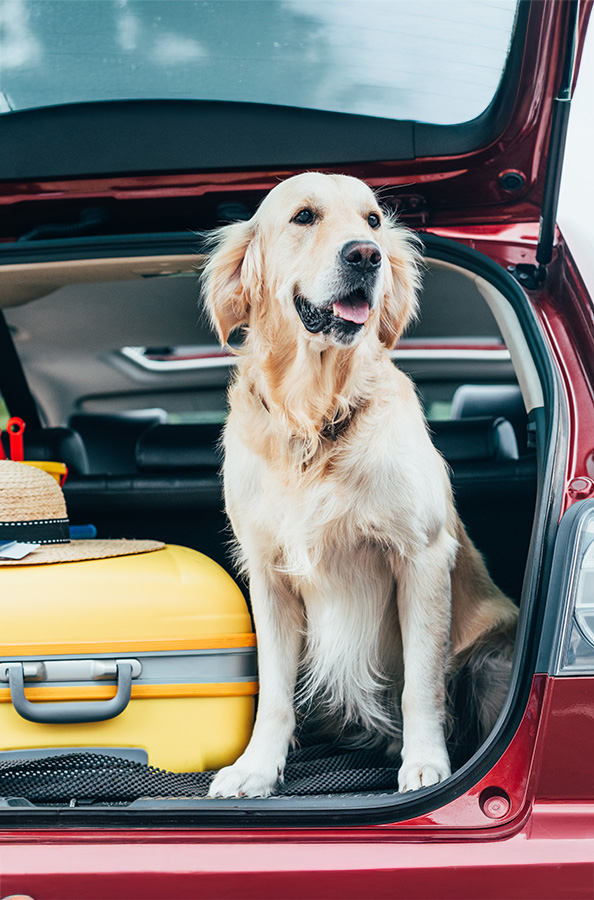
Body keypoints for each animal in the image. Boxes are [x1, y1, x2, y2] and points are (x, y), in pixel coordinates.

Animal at [201, 172, 516, 800]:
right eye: (304, 216)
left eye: (372, 220)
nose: (366, 256)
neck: (315, 416)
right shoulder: (268, 573)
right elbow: (274, 692)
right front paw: (255, 768)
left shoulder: (421, 556)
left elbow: (421, 682)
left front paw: (426, 763)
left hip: (491, 656)